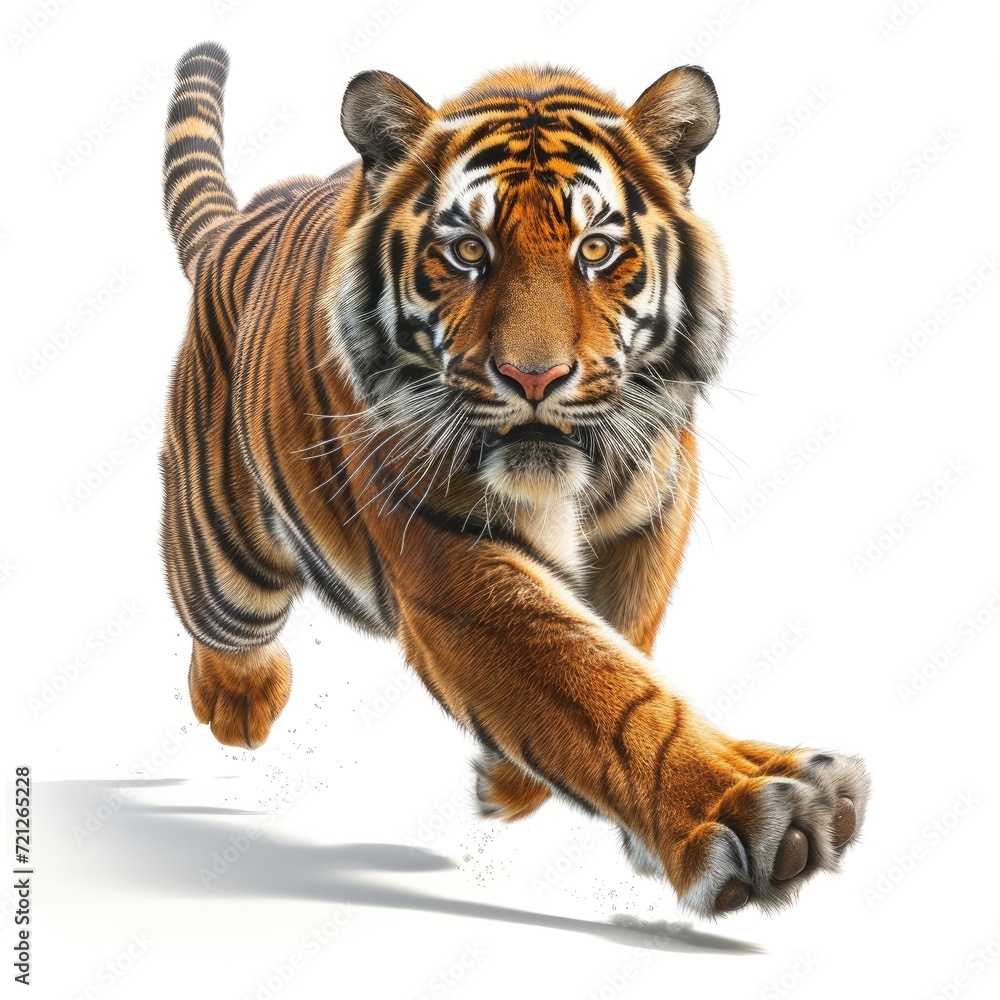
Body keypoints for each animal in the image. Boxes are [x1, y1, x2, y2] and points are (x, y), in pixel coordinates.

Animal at [160, 41, 869, 918]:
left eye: (595, 250)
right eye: (469, 251)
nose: (535, 378)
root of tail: (233, 229)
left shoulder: (653, 513)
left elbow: (620, 650)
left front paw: (522, 781)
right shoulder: (450, 556)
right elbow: (589, 682)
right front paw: (745, 808)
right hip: (225, 564)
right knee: (221, 623)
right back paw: (240, 704)